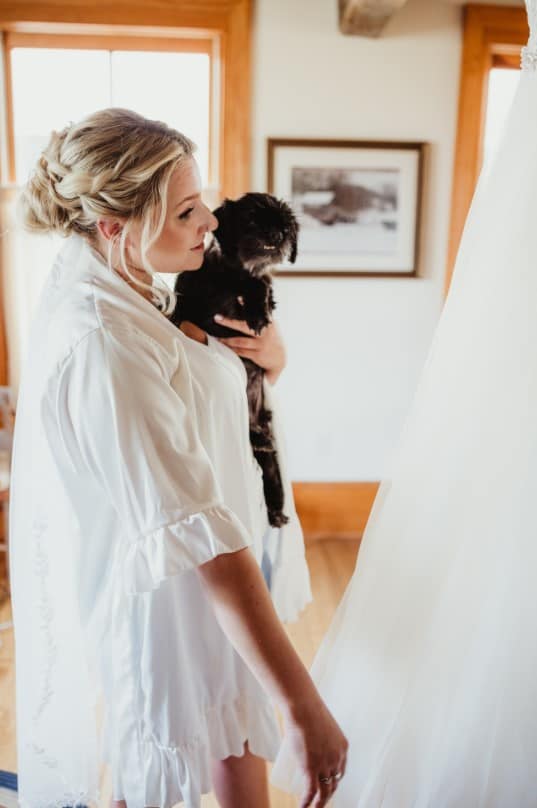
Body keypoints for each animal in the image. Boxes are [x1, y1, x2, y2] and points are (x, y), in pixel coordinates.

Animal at [171, 192, 300, 528]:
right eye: (252, 219)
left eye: (287, 226)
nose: (278, 235)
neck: (228, 276)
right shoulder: (188, 289)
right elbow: (182, 306)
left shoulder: (258, 282)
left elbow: (259, 283)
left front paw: (257, 312)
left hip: (268, 455)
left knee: (272, 480)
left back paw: (276, 511)